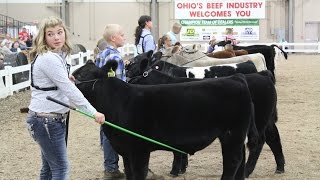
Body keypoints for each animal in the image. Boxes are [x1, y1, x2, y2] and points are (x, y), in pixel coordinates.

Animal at [72, 60, 255, 180]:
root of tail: (236, 78)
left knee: (232, 162)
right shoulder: (126, 152)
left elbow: (138, 174)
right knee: (240, 159)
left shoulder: (139, 151)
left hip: (231, 134)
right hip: (236, 136)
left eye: (81, 74)